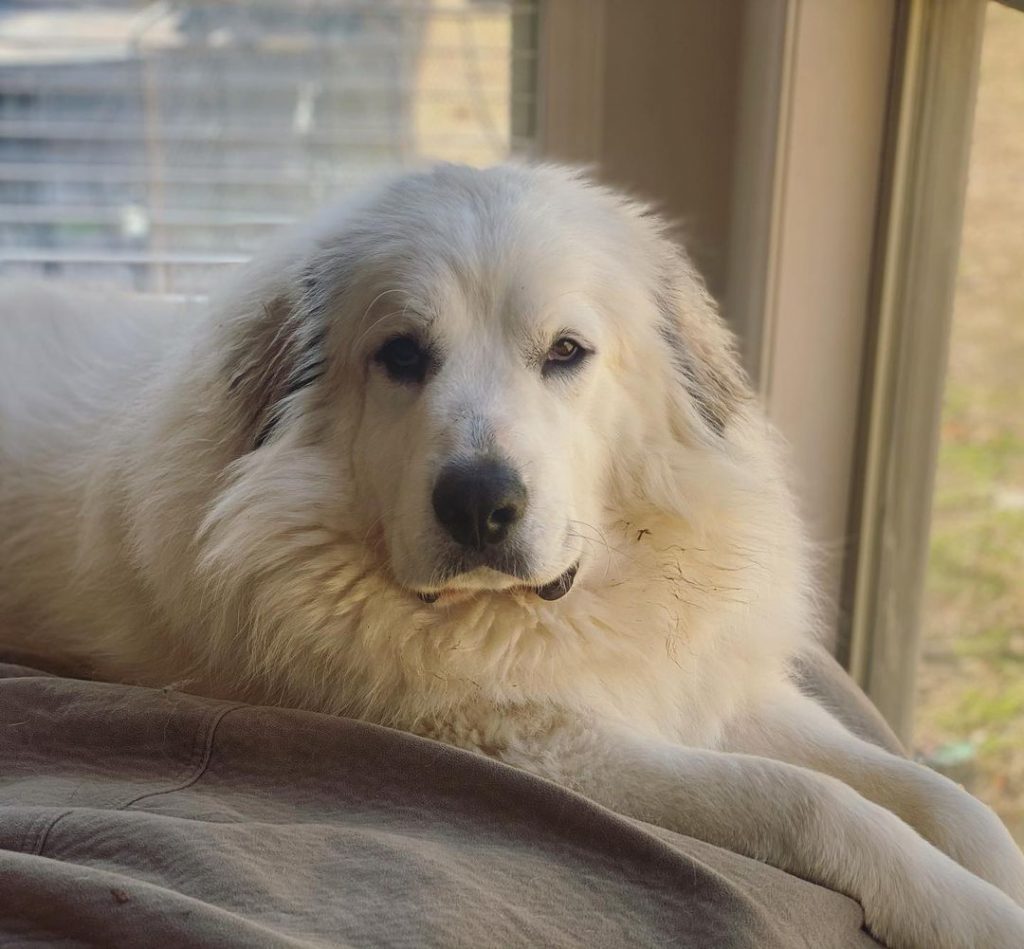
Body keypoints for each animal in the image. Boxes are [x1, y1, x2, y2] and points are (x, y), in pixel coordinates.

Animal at [2, 164, 1024, 949]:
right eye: (402, 354)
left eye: (565, 352)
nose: (480, 504)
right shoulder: (554, 748)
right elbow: (812, 800)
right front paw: (969, 911)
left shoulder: (711, 689)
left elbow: (934, 793)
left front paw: (995, 864)